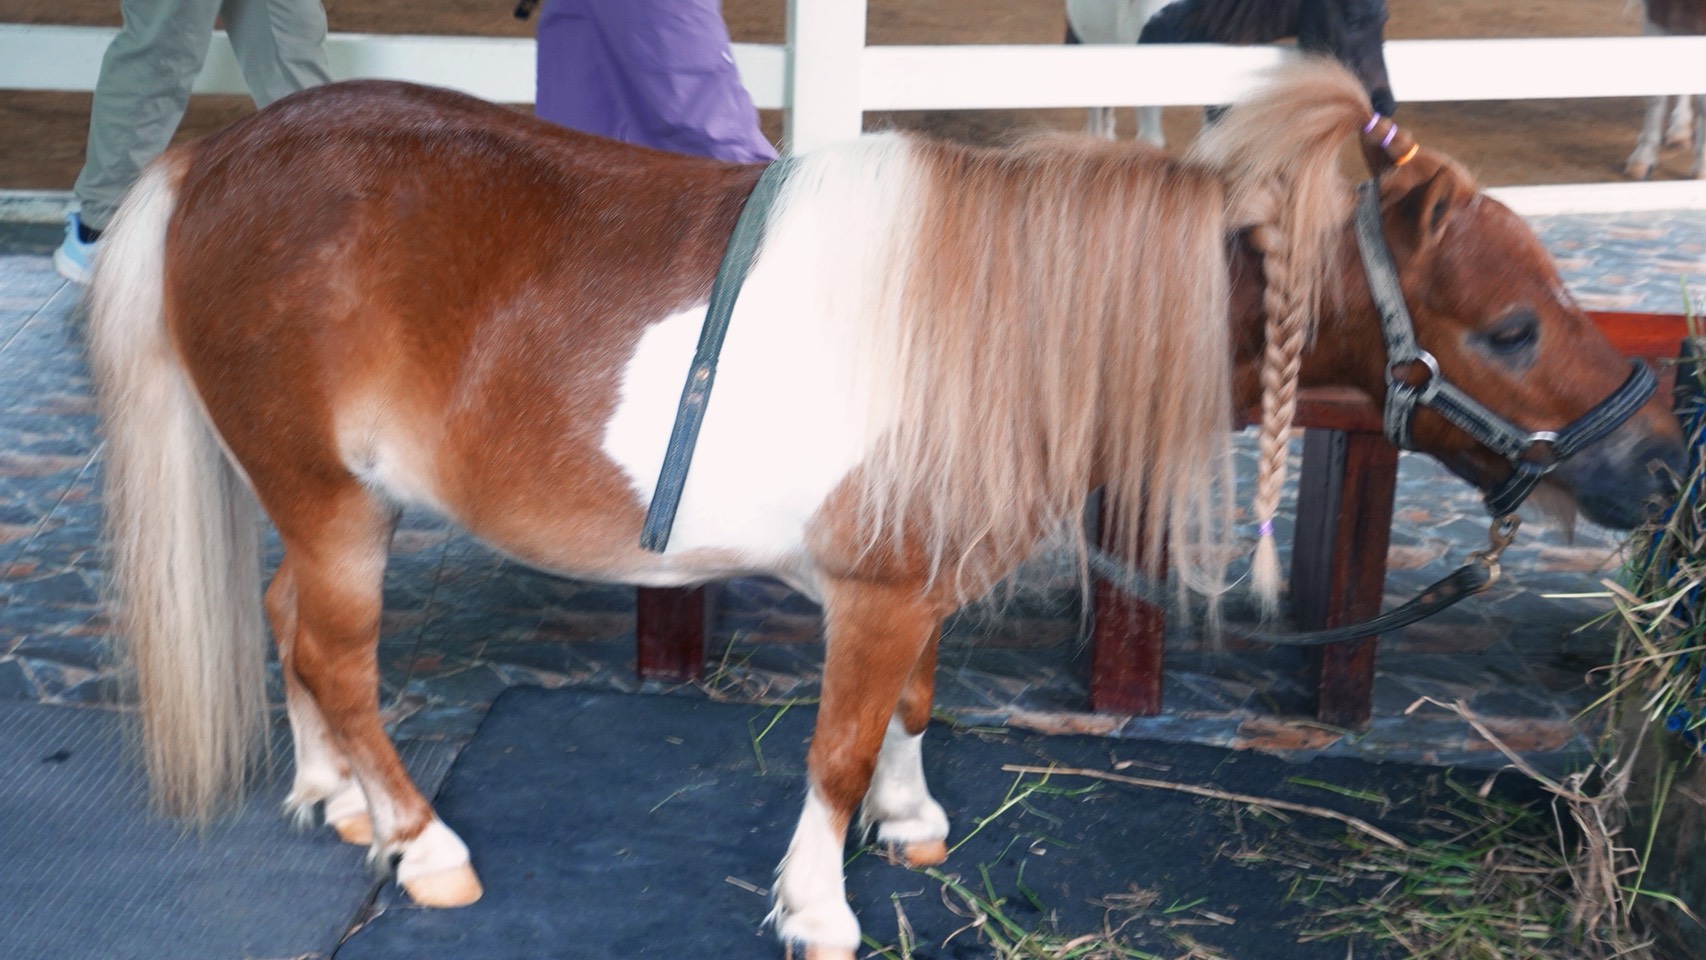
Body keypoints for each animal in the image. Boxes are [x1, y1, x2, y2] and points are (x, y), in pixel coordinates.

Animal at [87, 60, 1680, 959]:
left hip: (330, 505)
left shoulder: (919, 584)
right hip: (326, 498)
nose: (1659, 463)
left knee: (289, 625)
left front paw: (910, 827)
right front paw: (819, 906)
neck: (1006, 317)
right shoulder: (874, 588)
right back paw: (420, 844)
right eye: (1512, 328)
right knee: (338, 657)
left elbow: (914, 705)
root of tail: (218, 159)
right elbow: (840, 744)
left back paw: (335, 798)